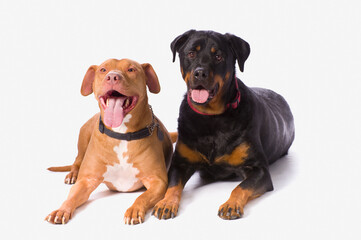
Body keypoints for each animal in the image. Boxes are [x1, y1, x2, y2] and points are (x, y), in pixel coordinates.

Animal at [45, 58, 175, 225]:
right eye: (103, 69)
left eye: (131, 69)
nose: (112, 77)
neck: (121, 134)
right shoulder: (86, 181)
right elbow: (71, 197)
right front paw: (61, 210)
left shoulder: (157, 181)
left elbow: (143, 196)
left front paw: (134, 210)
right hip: (84, 135)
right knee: (77, 160)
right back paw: (73, 174)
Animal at [152, 30, 292, 221]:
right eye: (191, 53)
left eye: (218, 56)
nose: (200, 73)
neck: (211, 118)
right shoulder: (180, 163)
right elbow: (173, 185)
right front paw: (166, 203)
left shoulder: (258, 169)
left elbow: (241, 187)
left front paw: (231, 204)